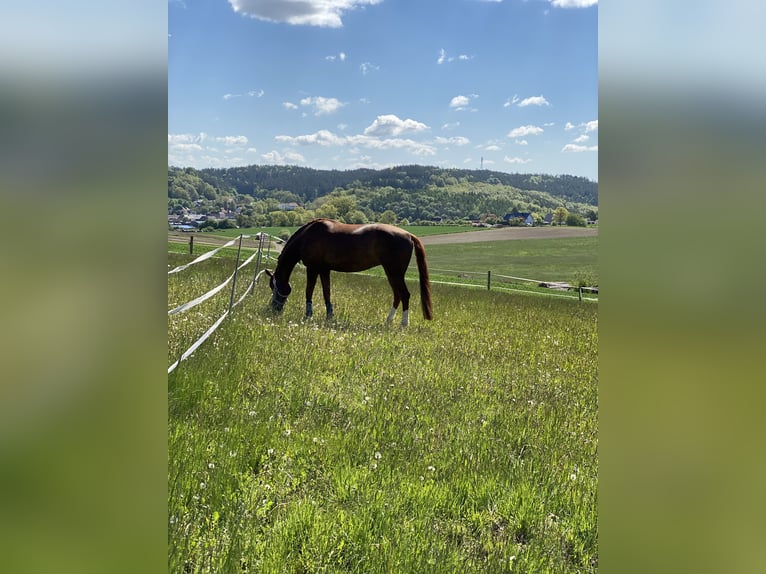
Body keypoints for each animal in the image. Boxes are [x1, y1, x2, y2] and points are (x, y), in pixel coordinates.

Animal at [264, 218, 432, 326]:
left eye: (274, 287)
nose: (274, 309)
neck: (308, 236)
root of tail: (408, 235)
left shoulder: (312, 268)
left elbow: (309, 291)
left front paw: (308, 315)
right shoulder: (324, 270)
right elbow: (326, 292)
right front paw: (329, 316)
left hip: (395, 273)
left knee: (405, 295)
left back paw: (403, 324)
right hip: (391, 273)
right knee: (397, 295)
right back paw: (388, 321)